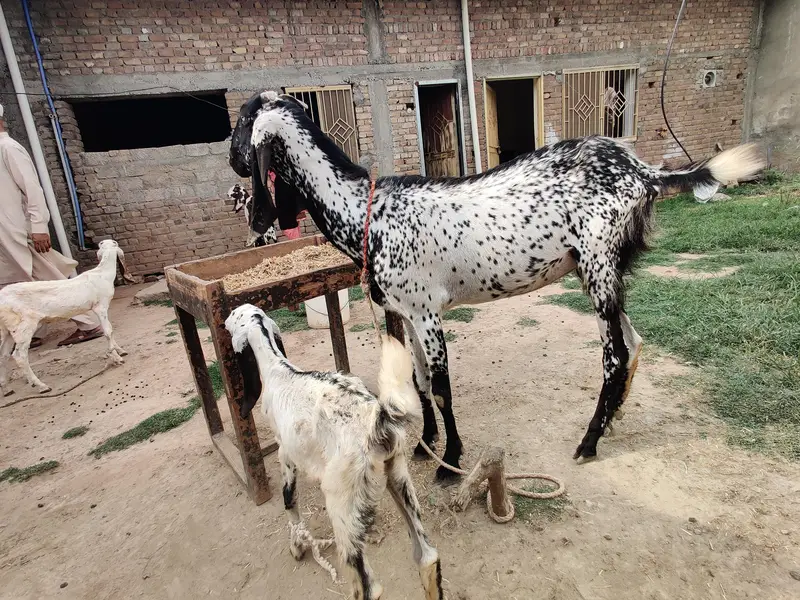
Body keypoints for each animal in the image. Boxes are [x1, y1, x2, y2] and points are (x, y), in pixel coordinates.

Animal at [0, 239, 131, 395]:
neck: (102, 273)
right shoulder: (101, 306)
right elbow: (108, 331)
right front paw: (116, 356)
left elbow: (110, 329)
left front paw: (120, 350)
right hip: (23, 324)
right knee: (19, 356)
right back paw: (41, 386)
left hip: (7, 328)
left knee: (3, 355)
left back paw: (6, 389)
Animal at [225, 304, 442, 600]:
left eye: (230, 321)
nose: (223, 322)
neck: (279, 370)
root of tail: (378, 417)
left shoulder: (285, 452)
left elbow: (289, 498)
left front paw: (297, 544)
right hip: (398, 477)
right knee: (427, 557)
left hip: (342, 501)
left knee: (369, 588)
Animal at [228, 91, 766, 479]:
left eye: (240, 124)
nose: (234, 163)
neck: (368, 211)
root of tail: (642, 172)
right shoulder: (406, 311)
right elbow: (418, 380)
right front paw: (425, 449)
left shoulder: (427, 311)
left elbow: (442, 386)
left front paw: (452, 462)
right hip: (605, 270)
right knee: (632, 342)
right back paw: (610, 423)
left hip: (598, 262)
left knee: (614, 352)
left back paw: (588, 442)